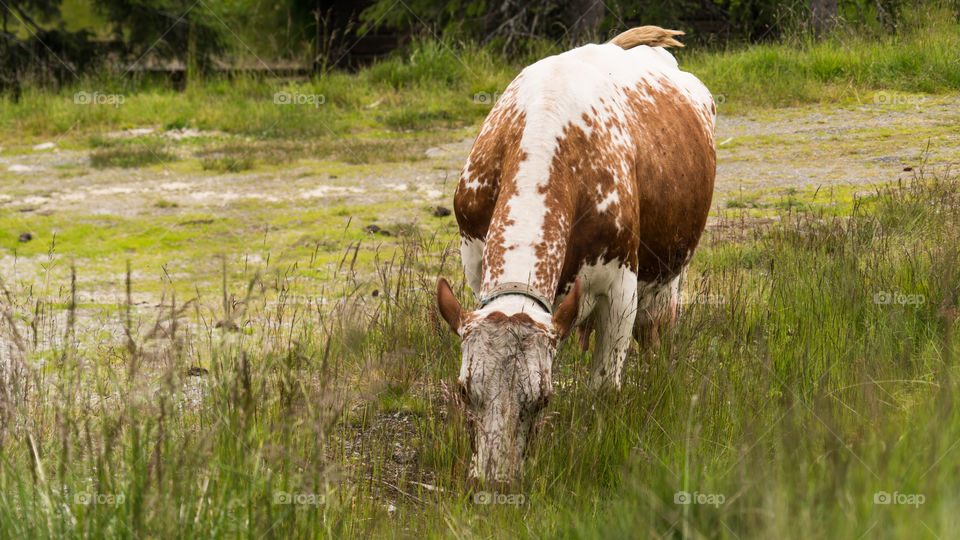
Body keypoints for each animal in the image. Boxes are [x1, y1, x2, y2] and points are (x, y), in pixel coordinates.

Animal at [435, 26, 717, 484]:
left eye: (544, 399)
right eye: (464, 390)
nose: (497, 483)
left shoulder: (621, 288)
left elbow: (603, 386)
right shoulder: (476, 271)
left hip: (670, 273)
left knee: (655, 330)